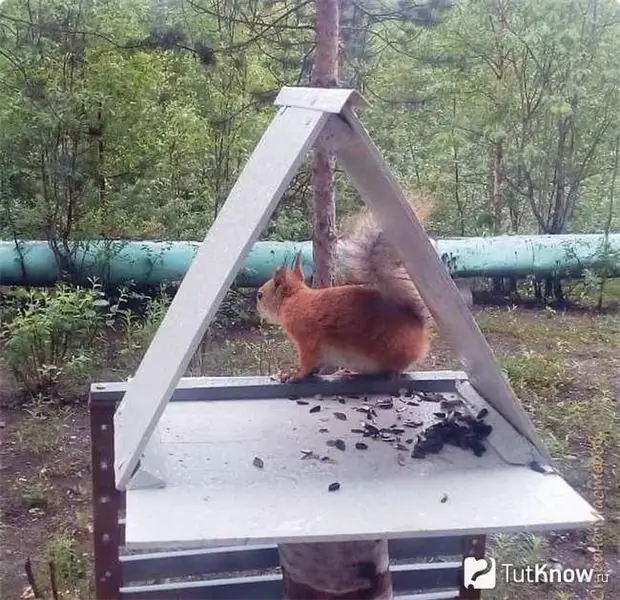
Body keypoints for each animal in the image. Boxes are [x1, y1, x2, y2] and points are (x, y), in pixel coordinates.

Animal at [256, 198, 432, 384]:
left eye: (260, 295)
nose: (257, 308)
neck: (293, 300)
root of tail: (417, 327)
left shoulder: (308, 341)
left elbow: (307, 363)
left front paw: (293, 375)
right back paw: (348, 373)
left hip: (393, 347)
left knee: (398, 366)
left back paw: (390, 373)